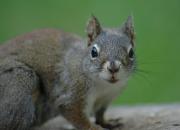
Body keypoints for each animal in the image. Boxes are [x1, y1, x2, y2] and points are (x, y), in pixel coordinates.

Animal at [0, 15, 136, 130]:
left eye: (131, 52)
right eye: (94, 52)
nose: (113, 68)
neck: (103, 86)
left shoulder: (106, 98)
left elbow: (100, 115)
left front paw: (107, 123)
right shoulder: (73, 92)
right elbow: (77, 116)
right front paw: (95, 128)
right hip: (20, 82)